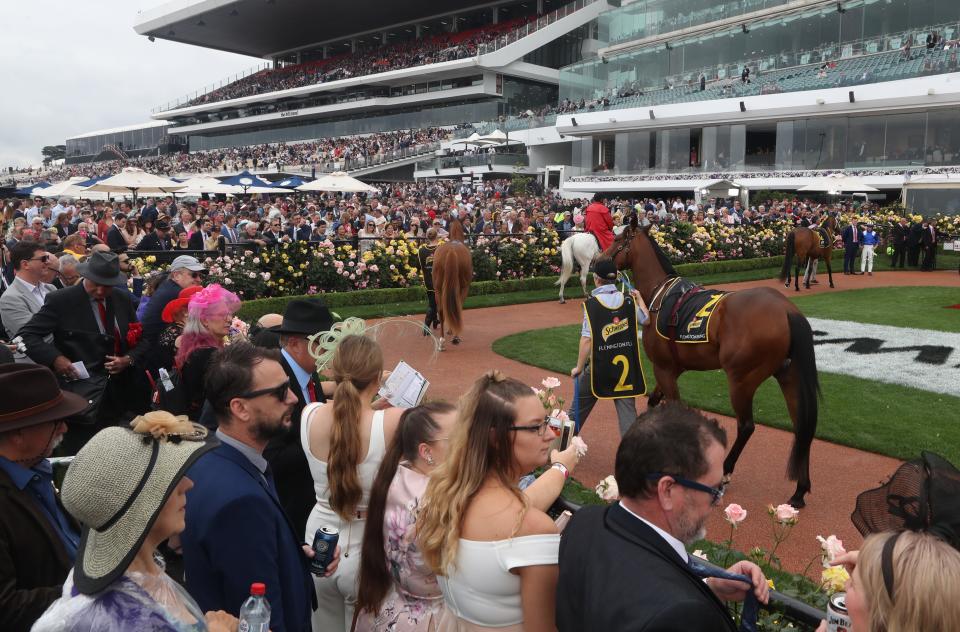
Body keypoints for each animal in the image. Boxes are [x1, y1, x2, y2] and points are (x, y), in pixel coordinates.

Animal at [432, 218, 472, 350]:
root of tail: (451, 250)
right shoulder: (464, 288)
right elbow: (458, 306)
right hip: (462, 287)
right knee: (456, 307)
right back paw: (455, 337)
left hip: (438, 288)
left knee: (441, 310)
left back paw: (442, 341)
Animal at [608, 220, 816, 506]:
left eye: (617, 241)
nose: (596, 261)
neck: (657, 294)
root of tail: (787, 310)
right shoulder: (671, 368)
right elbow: (653, 402)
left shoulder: (663, 368)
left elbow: (673, 409)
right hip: (788, 375)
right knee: (802, 428)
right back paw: (799, 490)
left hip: (741, 379)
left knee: (746, 426)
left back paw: (725, 473)